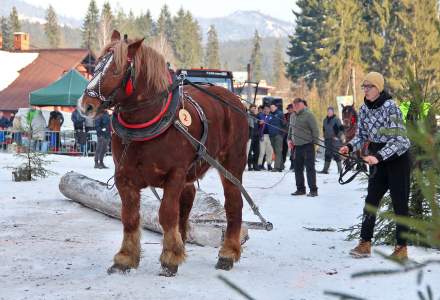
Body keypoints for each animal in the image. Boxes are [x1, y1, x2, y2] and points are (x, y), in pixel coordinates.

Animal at [78, 31, 249, 276]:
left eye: (116, 70)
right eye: (97, 66)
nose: (86, 105)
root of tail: (233, 100)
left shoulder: (175, 174)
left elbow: (167, 214)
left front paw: (169, 258)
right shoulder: (124, 176)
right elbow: (129, 217)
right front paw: (126, 258)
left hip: (231, 163)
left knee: (233, 203)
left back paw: (227, 253)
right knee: (187, 200)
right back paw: (183, 242)